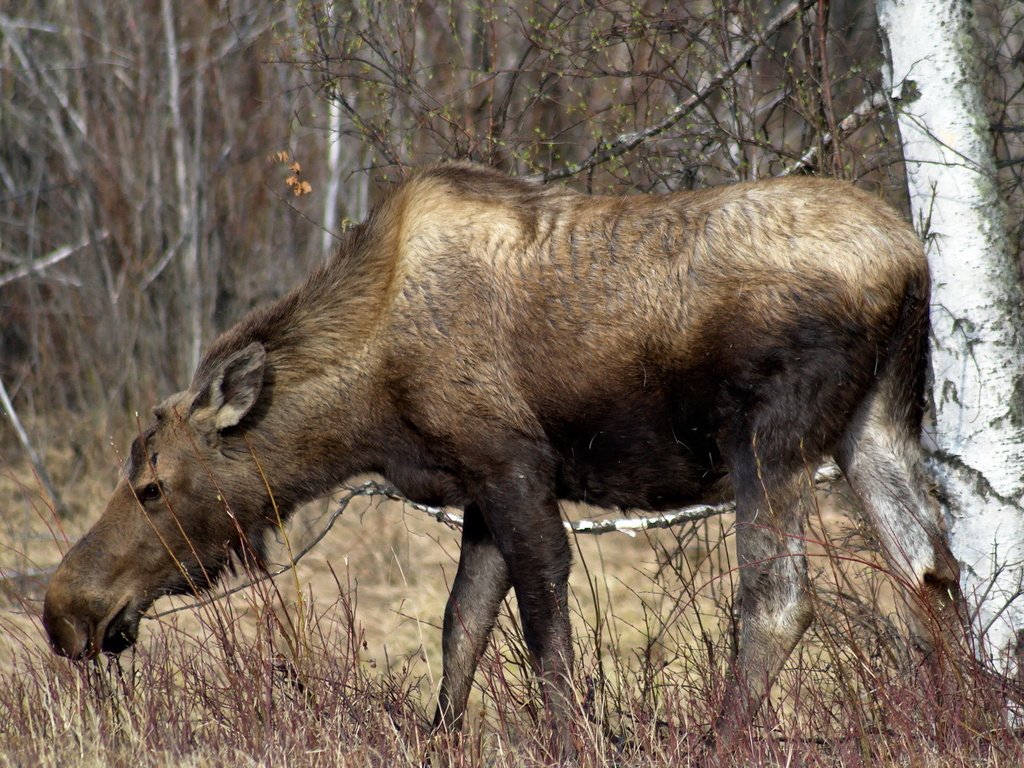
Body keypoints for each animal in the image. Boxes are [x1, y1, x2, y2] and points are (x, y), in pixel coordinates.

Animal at [44, 160, 962, 753]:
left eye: (152, 486)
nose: (65, 611)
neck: (363, 405)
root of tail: (910, 263)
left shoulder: (515, 467)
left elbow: (541, 630)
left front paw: (570, 741)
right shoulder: (477, 487)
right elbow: (462, 626)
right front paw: (441, 736)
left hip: (771, 437)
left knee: (779, 601)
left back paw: (721, 742)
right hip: (877, 421)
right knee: (931, 572)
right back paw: (962, 720)